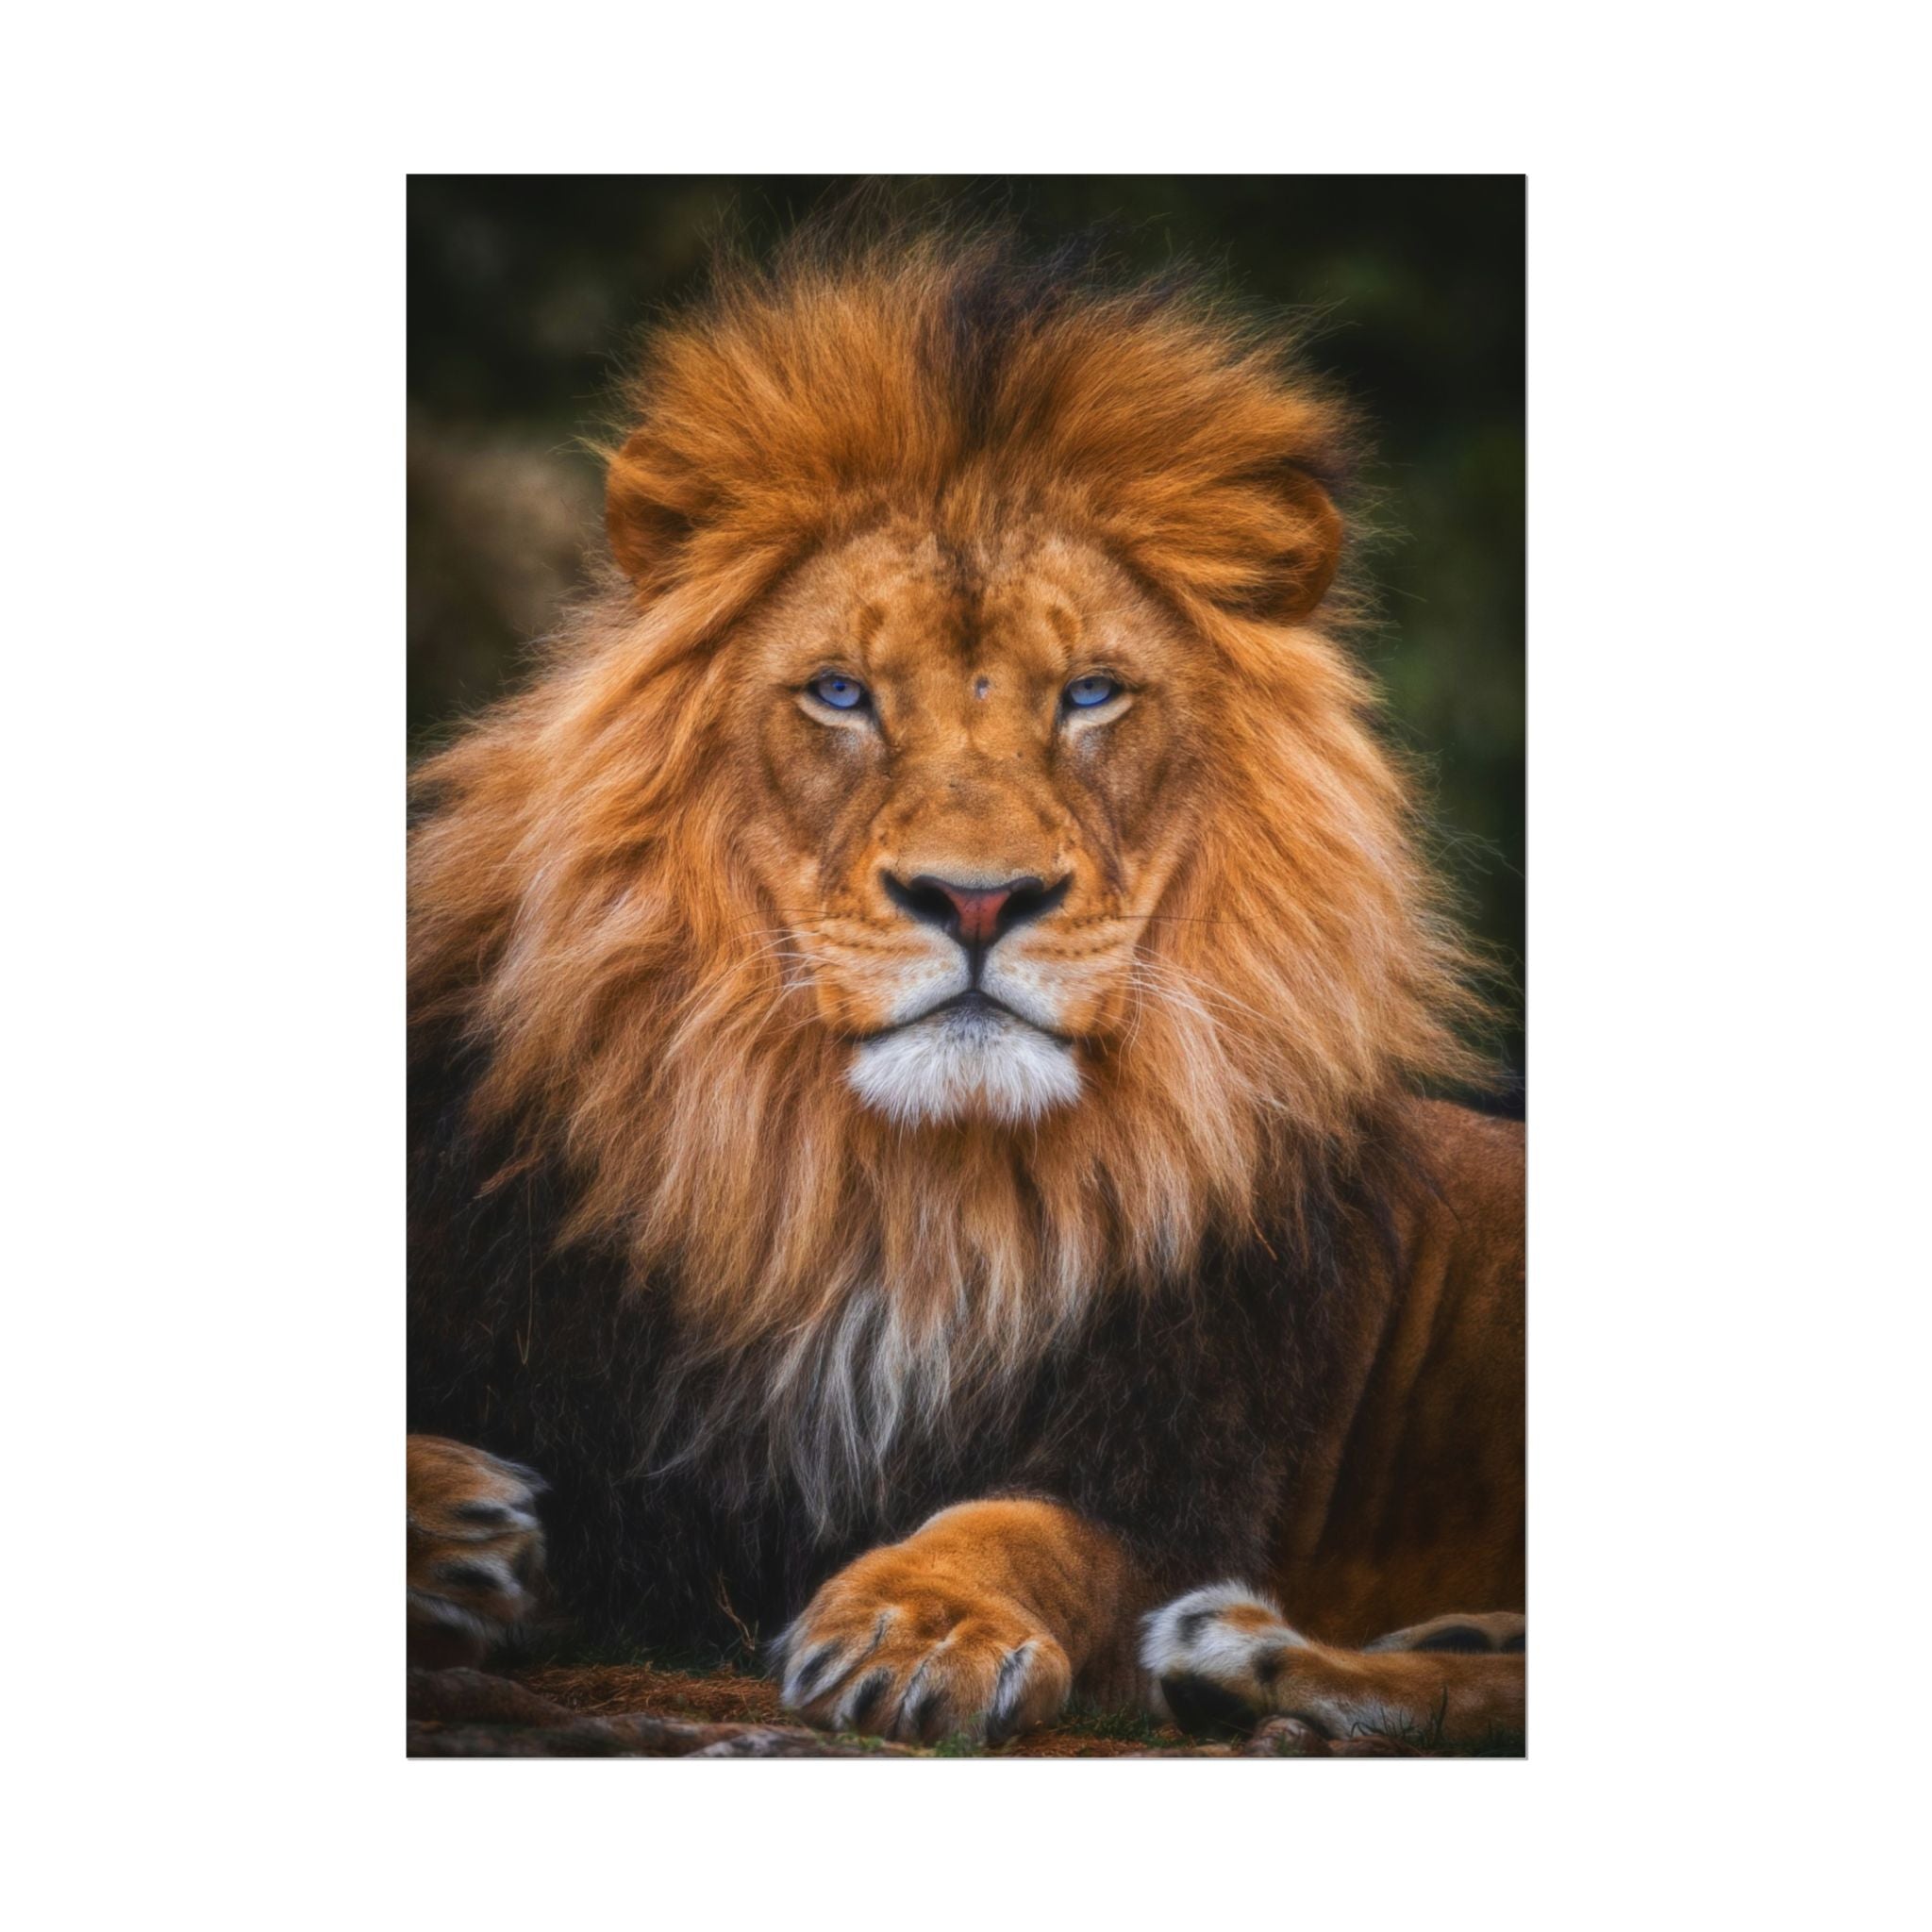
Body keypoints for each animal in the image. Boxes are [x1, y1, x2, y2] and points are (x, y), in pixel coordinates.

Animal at [406, 223, 1525, 1751]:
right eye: (839, 692)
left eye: (1091, 694)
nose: (978, 899)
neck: (898, 1200)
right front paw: (451, 1524)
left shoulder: (1177, 1464)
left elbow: (1028, 1528)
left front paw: (919, 1624)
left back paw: (1251, 1657)